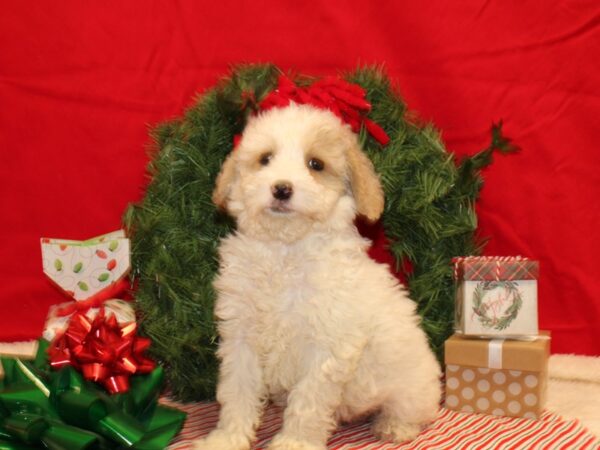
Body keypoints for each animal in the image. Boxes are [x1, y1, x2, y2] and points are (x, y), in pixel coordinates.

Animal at [195, 103, 442, 450]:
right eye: (265, 159)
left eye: (316, 164)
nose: (281, 188)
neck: (285, 251)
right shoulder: (241, 337)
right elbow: (237, 391)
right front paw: (227, 438)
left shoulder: (327, 345)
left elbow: (308, 402)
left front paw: (294, 442)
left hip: (413, 386)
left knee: (411, 409)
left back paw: (394, 427)